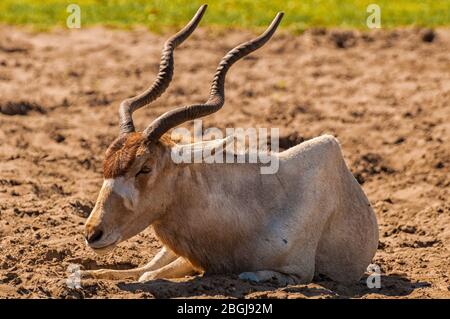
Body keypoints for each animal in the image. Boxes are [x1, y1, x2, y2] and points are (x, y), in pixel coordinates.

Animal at [84, 5, 380, 284]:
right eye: (105, 165)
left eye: (145, 168)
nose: (92, 233)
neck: (255, 206)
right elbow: (149, 273)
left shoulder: (298, 272)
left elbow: (247, 274)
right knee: (141, 270)